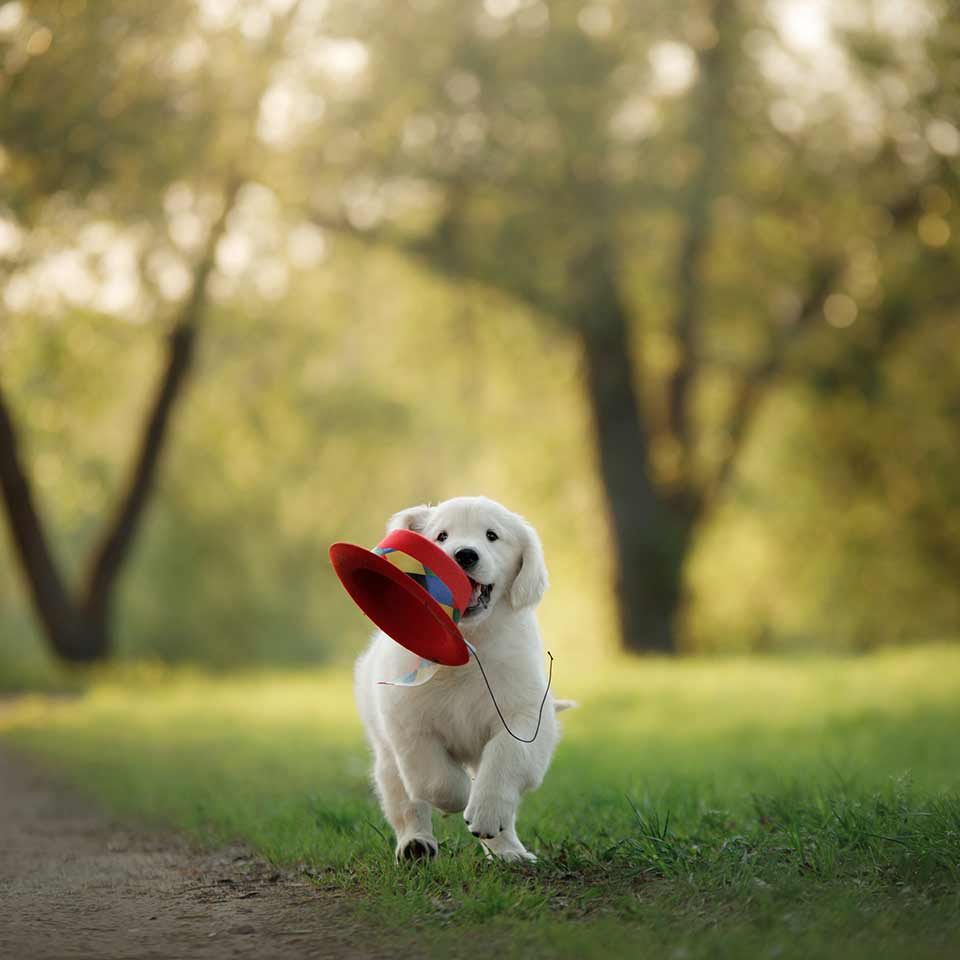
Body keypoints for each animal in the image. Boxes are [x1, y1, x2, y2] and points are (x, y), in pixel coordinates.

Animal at [354, 496, 568, 864]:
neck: (470, 641)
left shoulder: (526, 714)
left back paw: (508, 850)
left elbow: (506, 756)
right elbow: (435, 778)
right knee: (406, 805)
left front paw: (485, 811)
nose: (465, 555)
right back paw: (415, 845)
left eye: (492, 535)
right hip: (386, 760)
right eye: (441, 536)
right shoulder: (407, 721)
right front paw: (459, 797)